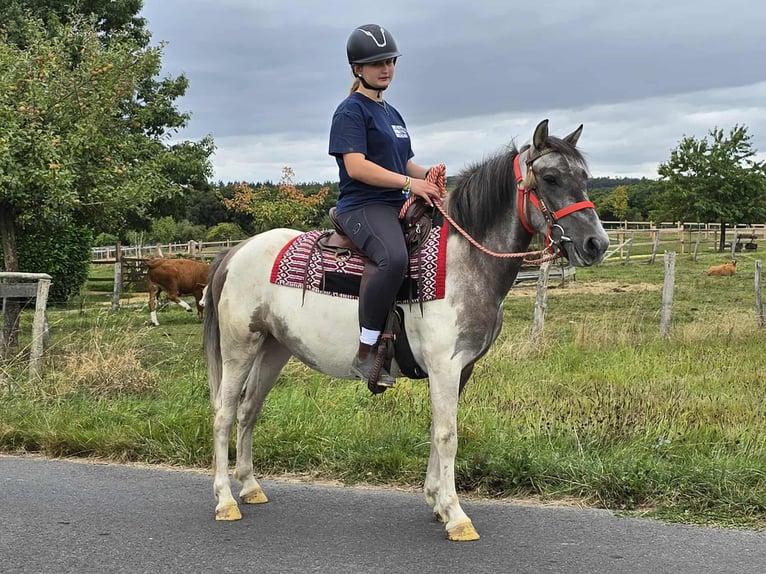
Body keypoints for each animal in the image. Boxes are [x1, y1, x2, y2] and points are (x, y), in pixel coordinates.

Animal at [203, 119, 610, 541]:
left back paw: (250, 487)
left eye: (584, 177)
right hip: (239, 349)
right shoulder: (445, 367)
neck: (463, 262)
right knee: (224, 414)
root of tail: (235, 252)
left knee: (249, 410)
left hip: (274, 349)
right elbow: (448, 435)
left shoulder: (462, 369)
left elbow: (437, 430)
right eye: (550, 178)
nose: (597, 244)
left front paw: (437, 502)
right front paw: (456, 514)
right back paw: (226, 501)